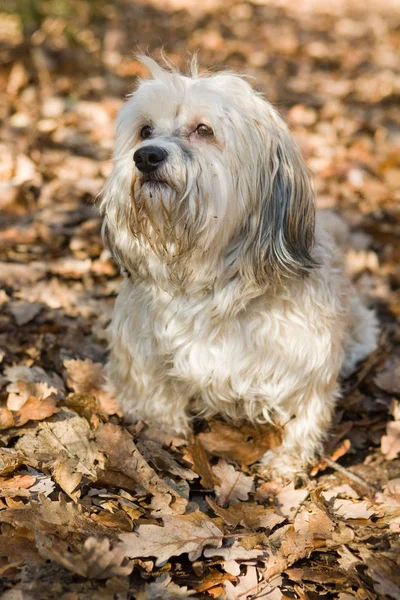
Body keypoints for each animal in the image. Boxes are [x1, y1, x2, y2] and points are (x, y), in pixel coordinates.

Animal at [100, 56, 378, 478]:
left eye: (203, 129)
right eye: (145, 130)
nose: (146, 156)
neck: (207, 279)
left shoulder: (306, 358)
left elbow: (306, 414)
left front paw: (287, 463)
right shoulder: (143, 350)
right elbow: (159, 398)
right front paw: (166, 434)